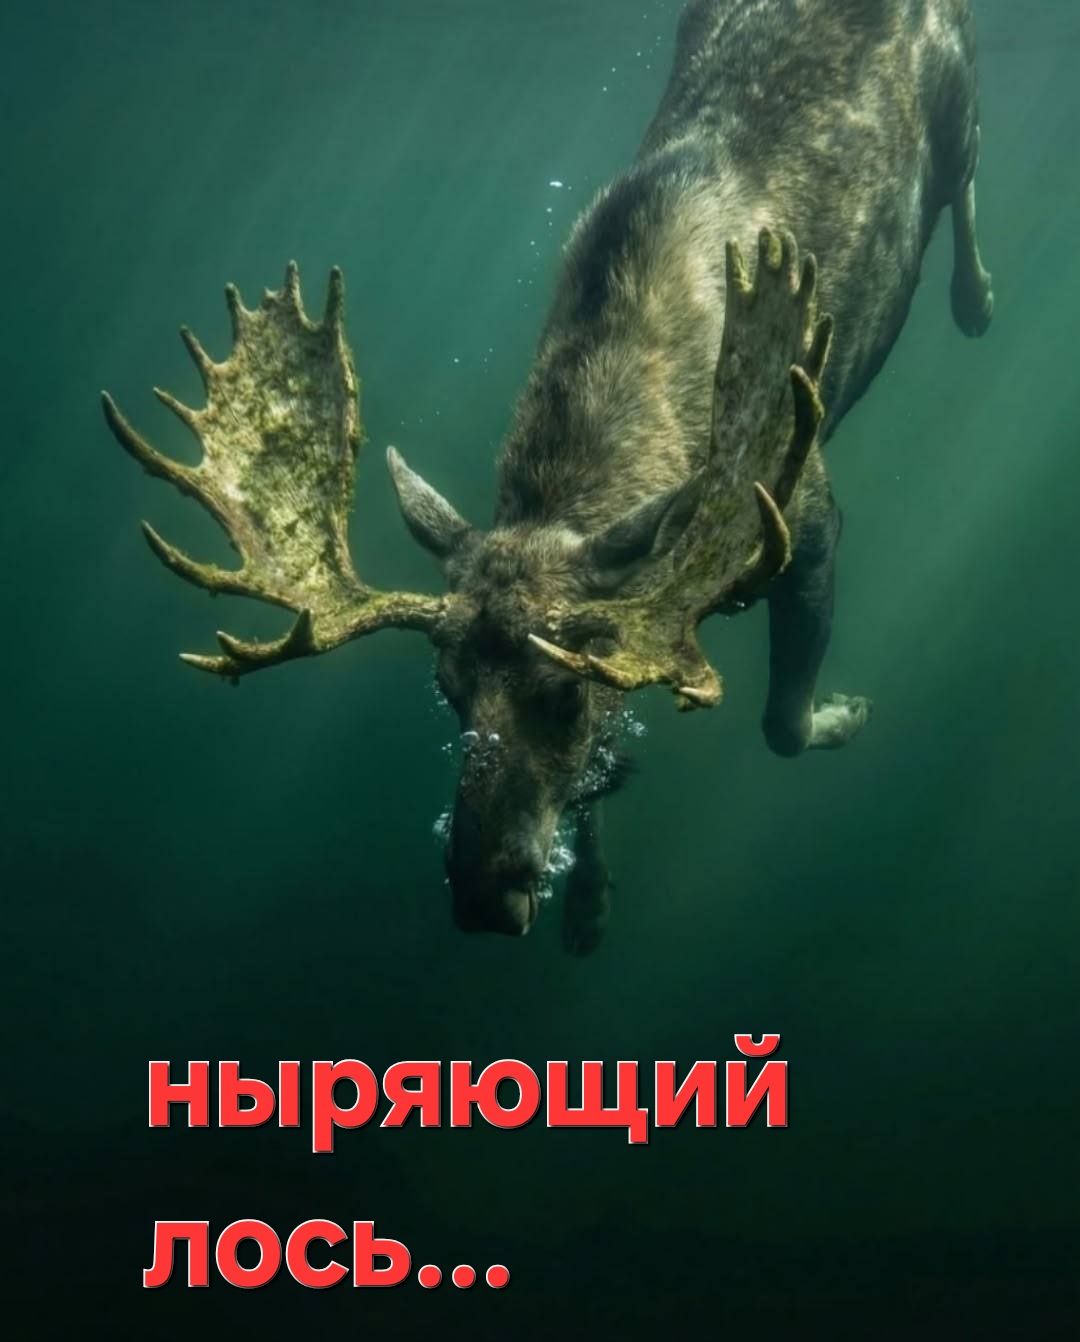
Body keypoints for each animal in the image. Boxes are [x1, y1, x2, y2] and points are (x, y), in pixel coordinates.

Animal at [104, 0, 992, 951]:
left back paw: (976, 298)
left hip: (957, 80)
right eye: (448, 693)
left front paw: (845, 714)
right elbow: (602, 774)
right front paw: (591, 900)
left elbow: (782, 723)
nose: (480, 897)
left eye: (564, 694)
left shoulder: (809, 518)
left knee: (966, 173)